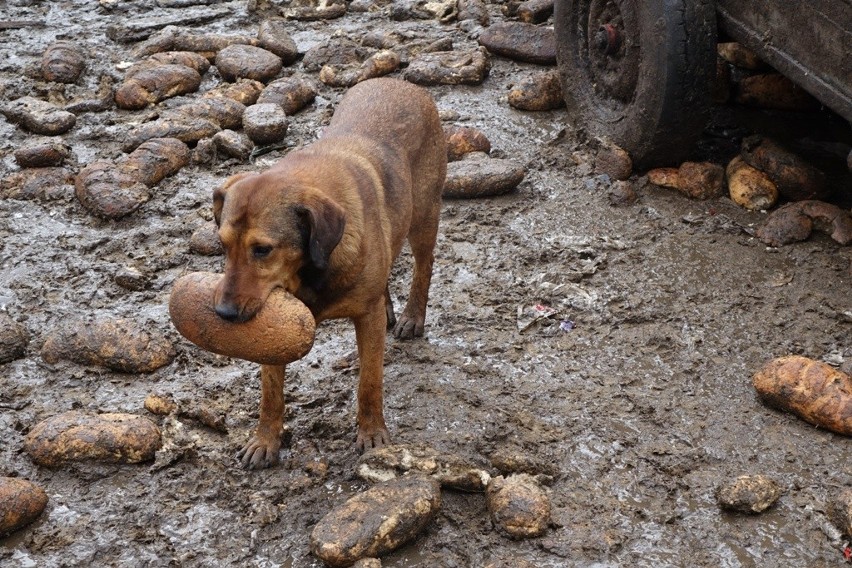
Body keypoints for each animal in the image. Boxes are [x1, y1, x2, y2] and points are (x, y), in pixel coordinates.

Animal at [211, 77, 446, 468]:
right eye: (222, 245)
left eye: (262, 250)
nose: (223, 313)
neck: (309, 272)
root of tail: (399, 82)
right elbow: (270, 391)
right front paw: (265, 439)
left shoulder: (366, 319)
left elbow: (370, 383)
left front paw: (372, 433)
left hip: (425, 215)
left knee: (423, 267)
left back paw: (412, 316)